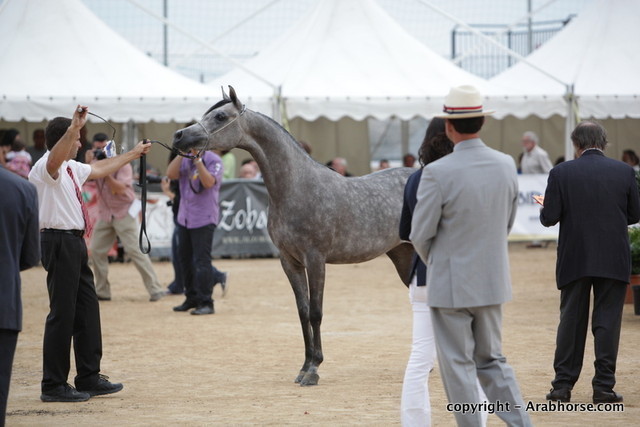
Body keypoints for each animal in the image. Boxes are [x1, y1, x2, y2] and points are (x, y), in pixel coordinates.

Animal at [173, 86, 415, 386]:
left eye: (220, 116)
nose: (179, 136)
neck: (297, 187)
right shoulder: (289, 261)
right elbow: (302, 312)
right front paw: (305, 366)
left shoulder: (316, 260)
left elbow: (316, 312)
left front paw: (314, 371)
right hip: (403, 255)